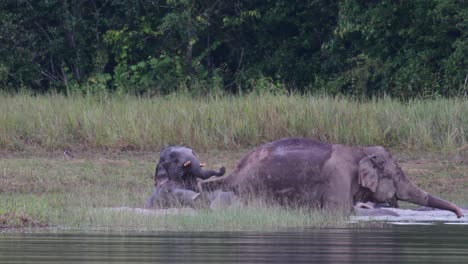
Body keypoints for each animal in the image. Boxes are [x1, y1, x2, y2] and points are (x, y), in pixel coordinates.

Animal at [199, 137, 466, 218]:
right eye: (394, 175)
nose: (459, 215)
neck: (360, 150)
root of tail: (237, 170)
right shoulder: (338, 177)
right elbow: (340, 211)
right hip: (254, 187)